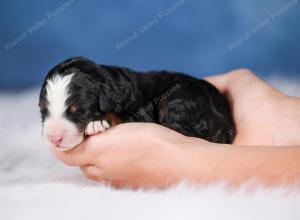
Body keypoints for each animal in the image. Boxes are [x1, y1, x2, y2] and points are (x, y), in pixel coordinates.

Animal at [39, 56, 236, 151]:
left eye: (78, 110)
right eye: (43, 110)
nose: (53, 138)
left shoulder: (141, 112)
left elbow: (119, 115)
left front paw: (96, 123)